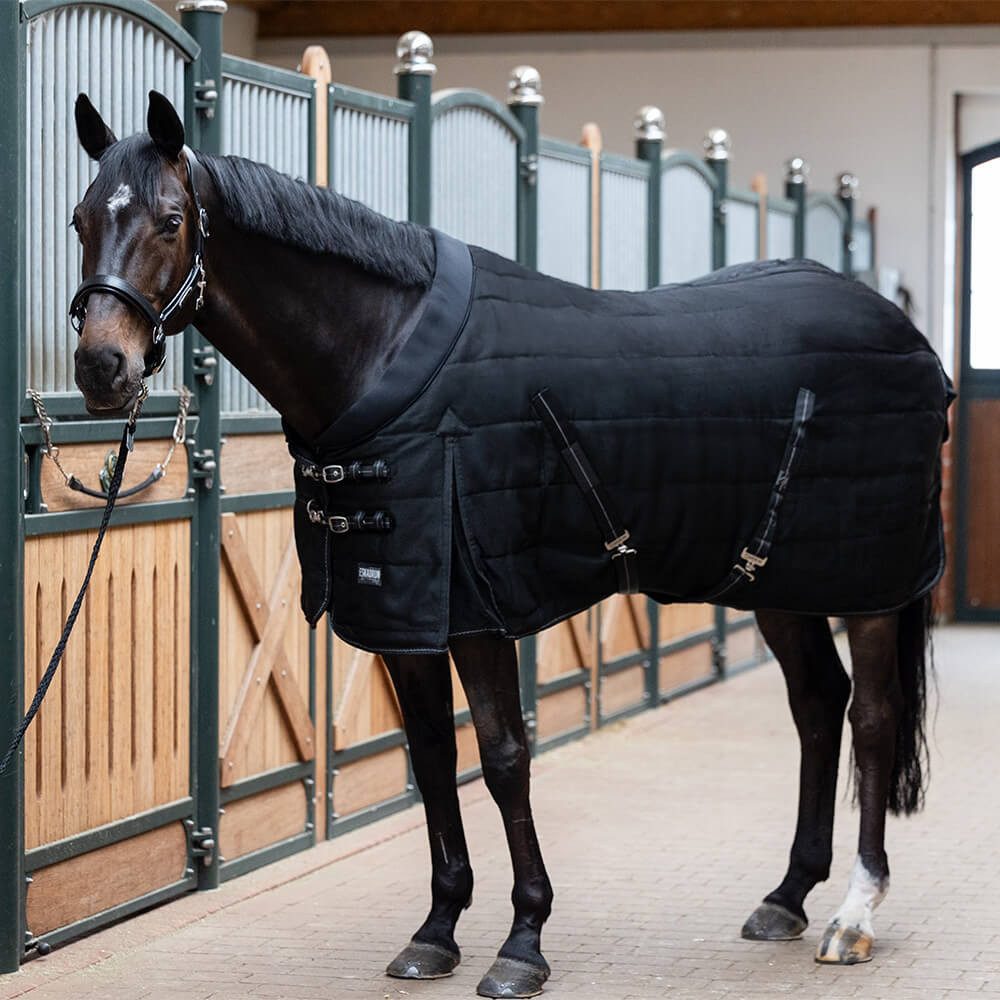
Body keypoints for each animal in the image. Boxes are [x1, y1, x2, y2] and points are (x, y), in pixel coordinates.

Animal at [68, 90, 951, 999]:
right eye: (78, 220)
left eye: (172, 221)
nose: (102, 367)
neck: (387, 357)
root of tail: (906, 332)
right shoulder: (404, 615)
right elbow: (431, 756)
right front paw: (436, 931)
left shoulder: (476, 610)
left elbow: (501, 759)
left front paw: (522, 942)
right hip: (778, 580)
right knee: (816, 702)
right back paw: (787, 896)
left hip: (871, 585)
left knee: (873, 717)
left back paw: (853, 914)